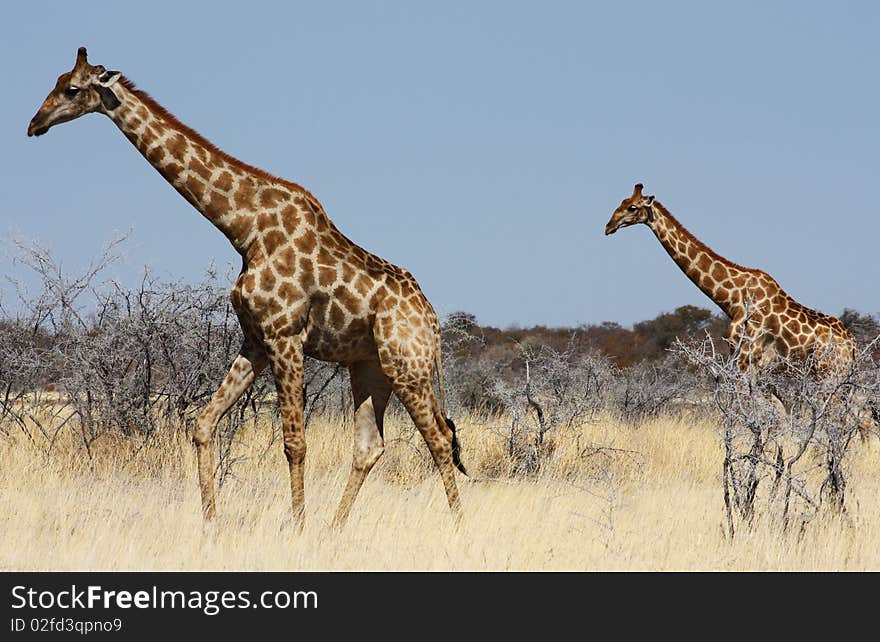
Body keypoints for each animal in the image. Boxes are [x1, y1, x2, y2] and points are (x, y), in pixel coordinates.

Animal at [27, 43, 468, 524]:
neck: (245, 229)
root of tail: (432, 322)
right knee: (371, 447)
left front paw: (296, 528)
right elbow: (203, 424)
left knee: (439, 439)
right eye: (54, 81)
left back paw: (455, 528)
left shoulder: (285, 335)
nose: (34, 123)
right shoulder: (255, 338)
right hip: (370, 367)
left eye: (72, 89)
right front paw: (210, 523)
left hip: (408, 365)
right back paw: (335, 529)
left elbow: (295, 443)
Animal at [600, 181, 856, 376]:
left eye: (632, 207)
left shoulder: (745, 357)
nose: (608, 226)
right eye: (621, 202)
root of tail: (852, 346)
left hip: (828, 373)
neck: (732, 299)